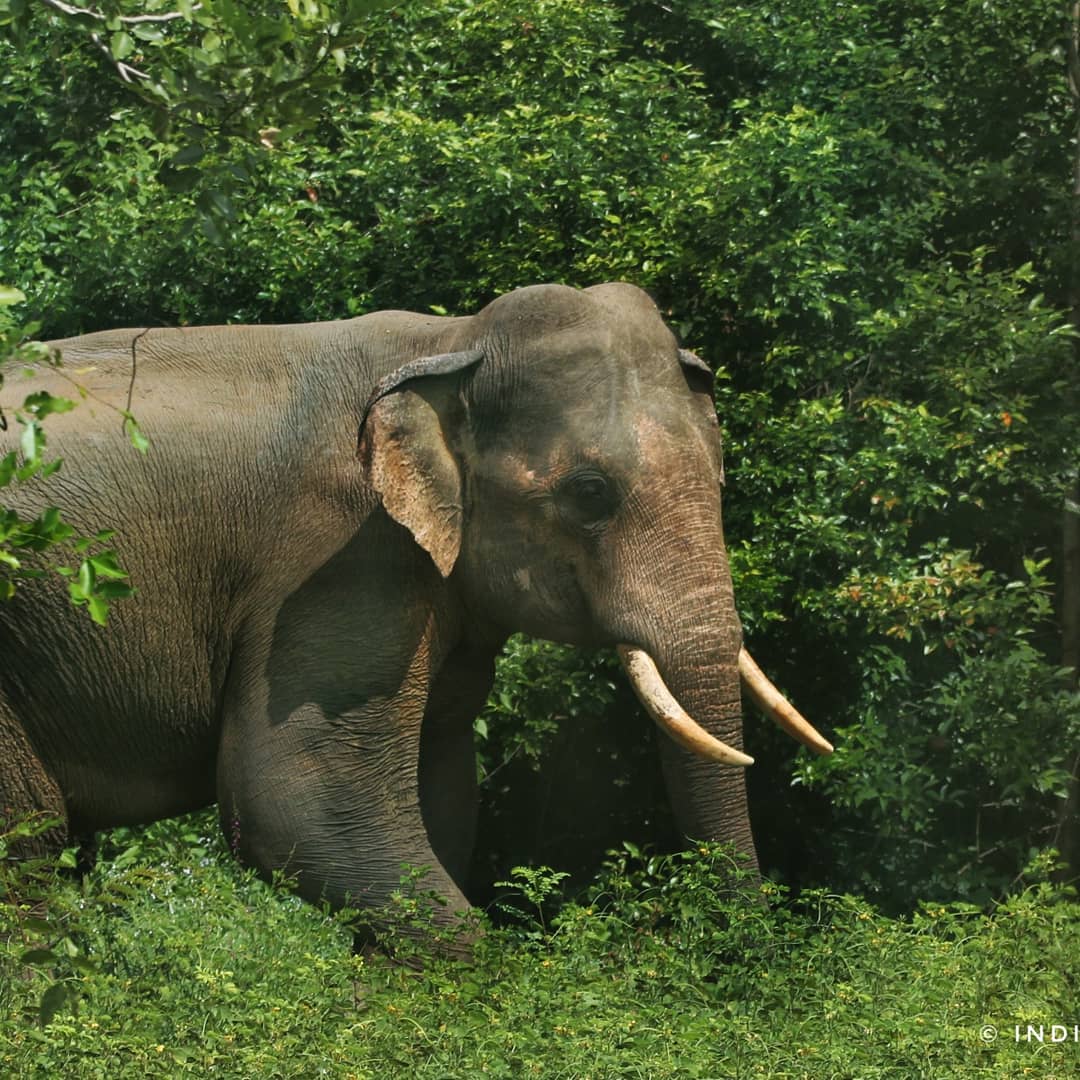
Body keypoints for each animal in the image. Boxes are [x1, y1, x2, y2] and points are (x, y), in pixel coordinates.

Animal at [0, 285, 829, 946]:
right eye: (590, 493)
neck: (451, 343)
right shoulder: (335, 558)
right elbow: (295, 798)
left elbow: (442, 791)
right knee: (27, 842)